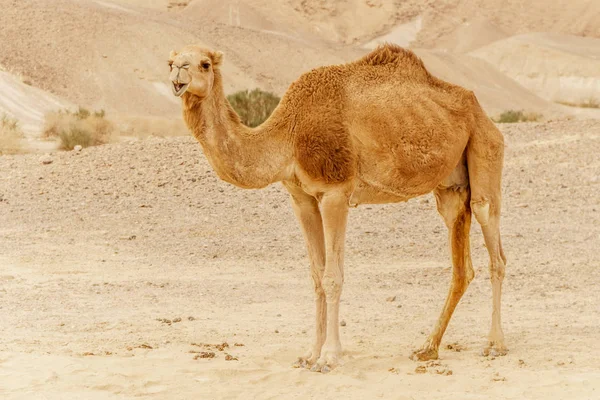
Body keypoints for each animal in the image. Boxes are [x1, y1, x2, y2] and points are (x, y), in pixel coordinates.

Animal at [168, 45, 506, 374]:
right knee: (462, 263)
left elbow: (332, 277)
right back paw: (427, 347)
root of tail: (481, 111)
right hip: (450, 187)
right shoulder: (301, 197)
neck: (288, 135)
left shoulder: (335, 191)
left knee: (490, 234)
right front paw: (309, 354)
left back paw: (494, 345)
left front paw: (329, 357)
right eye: (171, 61)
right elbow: (317, 275)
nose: (178, 74)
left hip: (485, 145)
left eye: (204, 64)